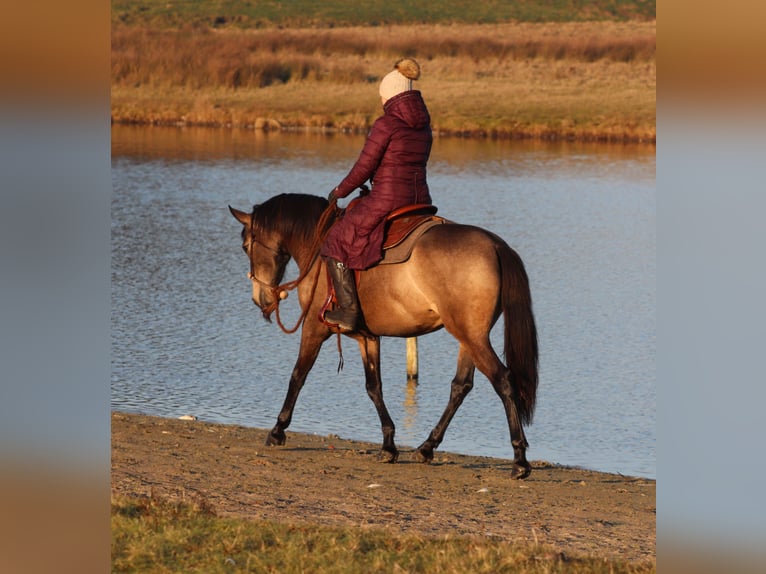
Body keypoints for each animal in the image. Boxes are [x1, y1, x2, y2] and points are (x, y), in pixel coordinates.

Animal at [228, 194, 540, 482]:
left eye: (245, 247)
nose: (260, 299)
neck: (318, 245)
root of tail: (496, 245)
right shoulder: (367, 338)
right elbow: (373, 387)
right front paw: (389, 445)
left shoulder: (314, 329)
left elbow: (298, 375)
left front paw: (277, 430)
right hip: (469, 338)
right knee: (461, 386)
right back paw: (427, 447)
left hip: (472, 338)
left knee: (503, 381)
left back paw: (519, 459)